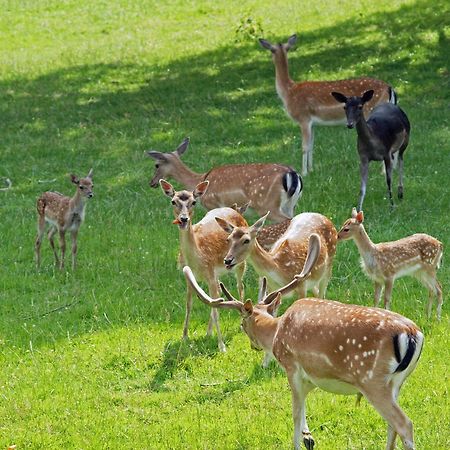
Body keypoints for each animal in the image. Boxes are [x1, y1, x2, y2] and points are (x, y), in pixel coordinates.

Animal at [148, 136, 302, 222]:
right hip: (290, 204)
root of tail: (292, 174)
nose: (152, 182)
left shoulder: (212, 205)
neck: (199, 179)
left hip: (266, 204)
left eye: (156, 165)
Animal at [159, 179, 250, 352]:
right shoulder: (190, 277)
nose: (183, 219)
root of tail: (236, 210)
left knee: (240, 287)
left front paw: (221, 346)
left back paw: (241, 321)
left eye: (194, 202)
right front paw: (184, 337)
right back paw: (208, 333)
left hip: (241, 262)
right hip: (218, 273)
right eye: (173, 201)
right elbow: (189, 305)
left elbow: (215, 309)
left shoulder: (210, 273)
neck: (198, 258)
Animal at [183, 232, 426, 450]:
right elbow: (303, 413)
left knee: (404, 424)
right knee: (392, 426)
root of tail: (412, 333)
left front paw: (299, 443)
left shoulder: (292, 366)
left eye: (242, 326)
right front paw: (309, 438)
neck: (276, 332)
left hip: (373, 381)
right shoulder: (312, 377)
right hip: (397, 382)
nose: (253, 345)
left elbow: (295, 412)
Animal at [258, 33, 396, 177]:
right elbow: (312, 145)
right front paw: (312, 169)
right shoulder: (312, 123)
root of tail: (389, 88)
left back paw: (383, 172)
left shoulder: (303, 118)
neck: (288, 92)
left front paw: (304, 172)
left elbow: (304, 146)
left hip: (371, 111)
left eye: (271, 50)